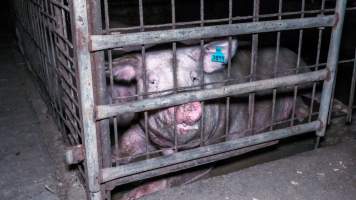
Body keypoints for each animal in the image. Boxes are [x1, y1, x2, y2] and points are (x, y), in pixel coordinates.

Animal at [109, 39, 312, 199]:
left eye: (195, 78)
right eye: (152, 82)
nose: (188, 104)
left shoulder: (212, 143)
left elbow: (181, 171)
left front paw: (131, 195)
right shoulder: (142, 127)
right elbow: (126, 140)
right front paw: (112, 164)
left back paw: (303, 117)